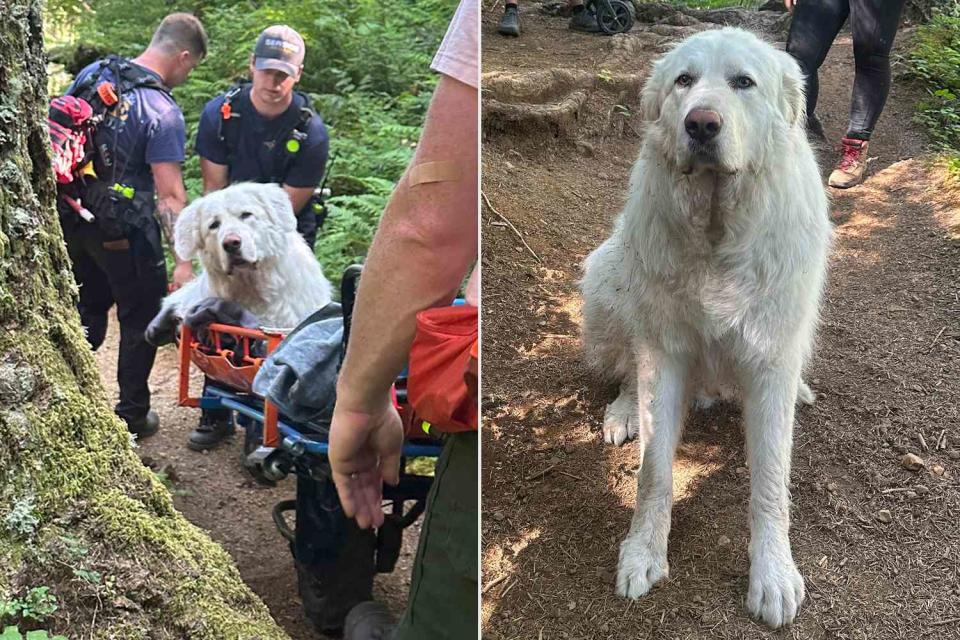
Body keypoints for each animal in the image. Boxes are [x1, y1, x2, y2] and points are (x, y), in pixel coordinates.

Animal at [576, 27, 832, 628]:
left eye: (743, 82)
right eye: (684, 81)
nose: (701, 124)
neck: (718, 230)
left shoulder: (769, 358)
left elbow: (771, 483)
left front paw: (773, 575)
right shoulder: (665, 354)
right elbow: (654, 472)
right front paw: (643, 554)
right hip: (608, 277)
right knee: (627, 367)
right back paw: (624, 409)